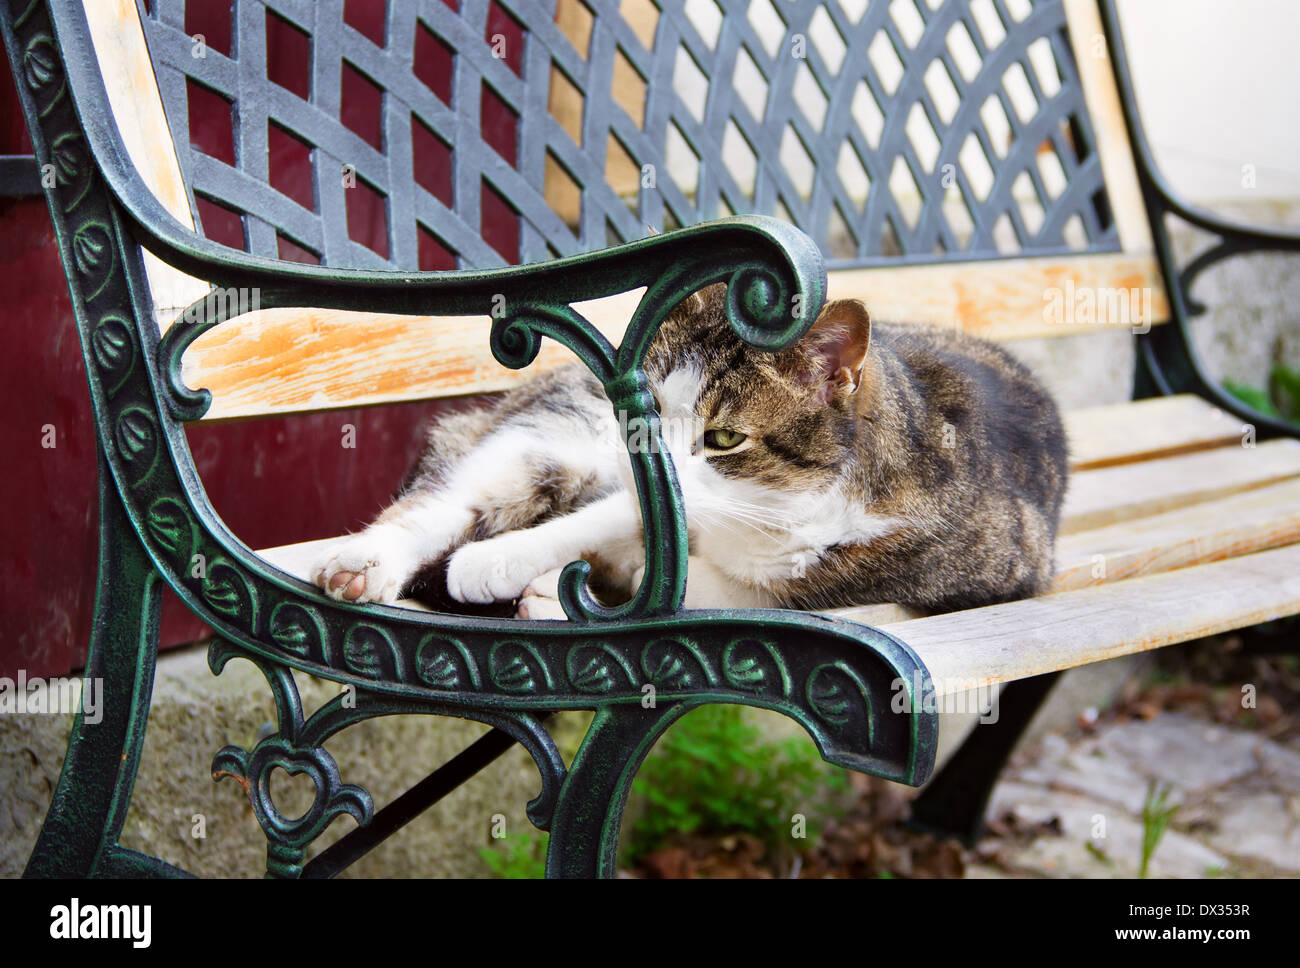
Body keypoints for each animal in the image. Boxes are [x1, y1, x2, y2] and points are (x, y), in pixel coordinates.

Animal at [312, 284, 1066, 618]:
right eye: (641, 421)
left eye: (724, 438)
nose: (638, 464)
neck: (781, 507)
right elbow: (622, 518)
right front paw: (499, 565)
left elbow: (730, 589)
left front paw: (566, 586)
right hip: (559, 429)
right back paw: (367, 566)